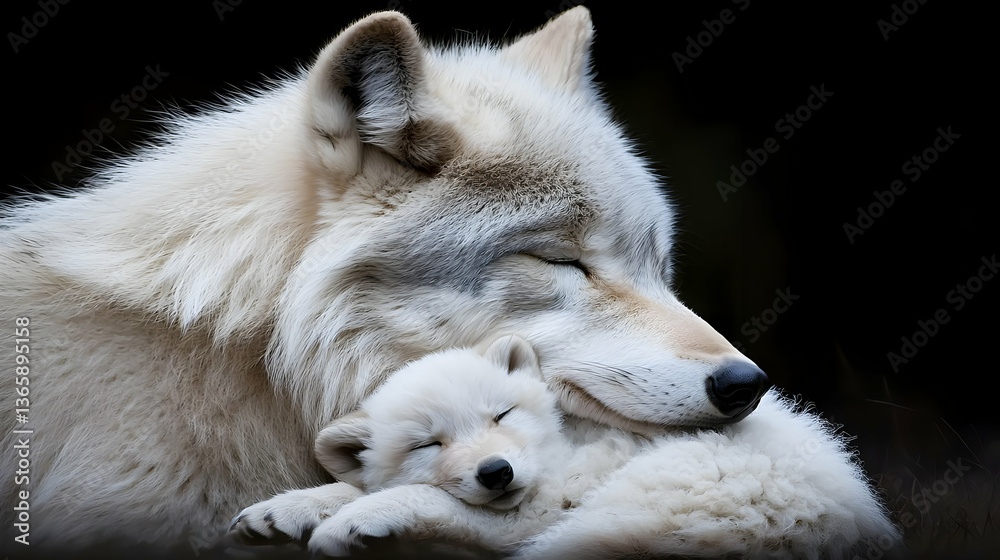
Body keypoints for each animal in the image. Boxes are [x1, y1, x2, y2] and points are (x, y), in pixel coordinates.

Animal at [233, 336, 897, 558]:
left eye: (500, 413)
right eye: (428, 442)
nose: (495, 472)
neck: (564, 437)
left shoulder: (564, 492)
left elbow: (445, 506)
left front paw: (350, 523)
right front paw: (278, 511)